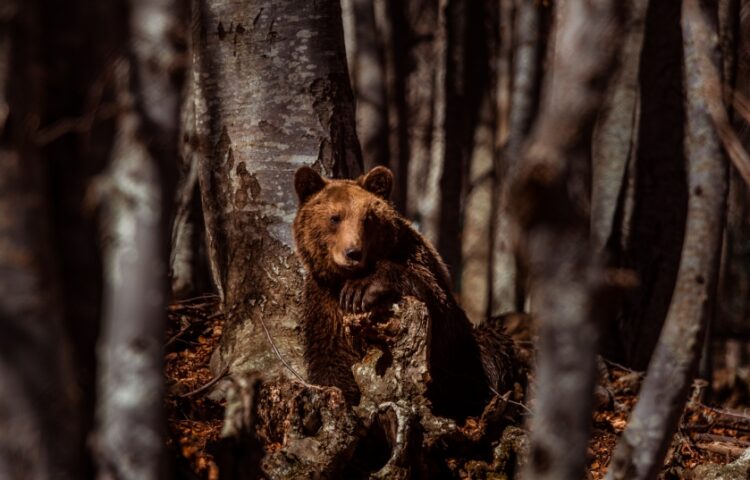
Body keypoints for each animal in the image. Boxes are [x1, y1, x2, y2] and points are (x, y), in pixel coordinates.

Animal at [294, 165, 516, 420]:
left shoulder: (418, 261)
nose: (353, 253)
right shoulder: (324, 301)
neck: (344, 278)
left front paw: (362, 289)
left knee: (490, 352)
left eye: (368, 219)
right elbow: (331, 357)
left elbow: (440, 311)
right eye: (335, 218)